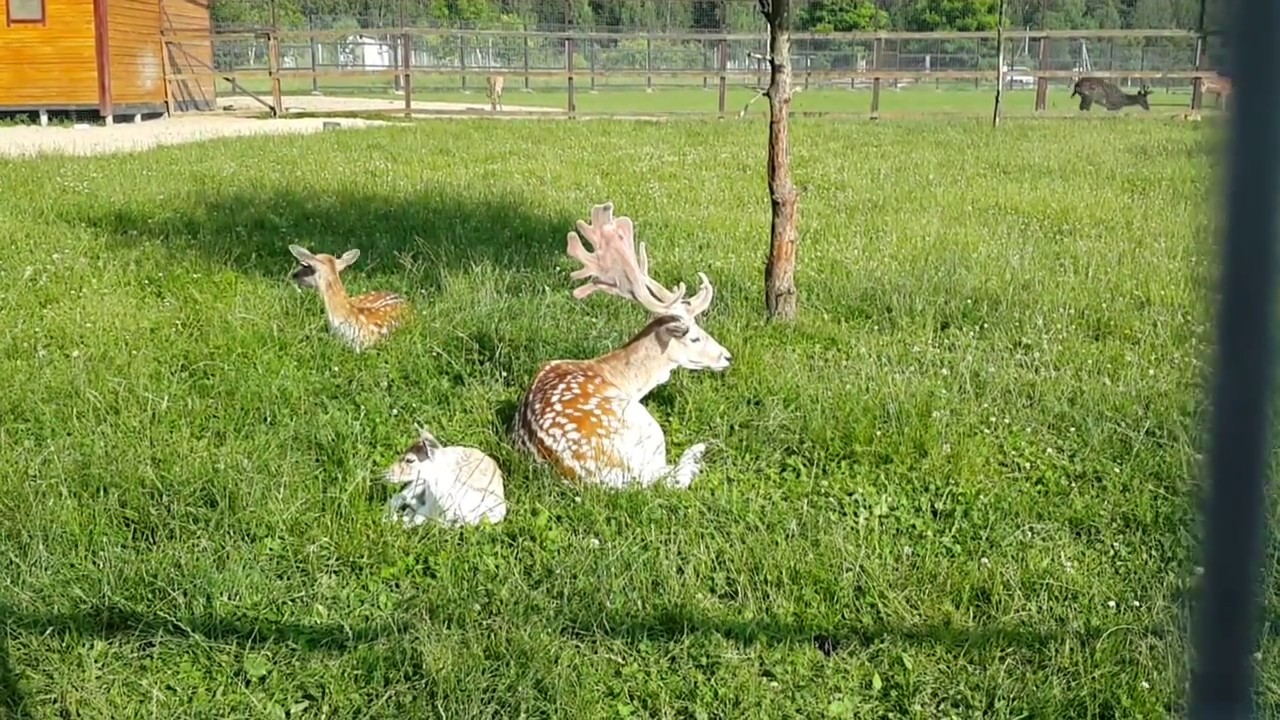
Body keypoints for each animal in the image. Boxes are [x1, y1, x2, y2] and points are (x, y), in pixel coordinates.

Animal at [510, 201, 732, 490]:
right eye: (694, 337)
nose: (727, 356)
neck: (621, 377)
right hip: (645, 426)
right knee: (668, 475)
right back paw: (700, 449)